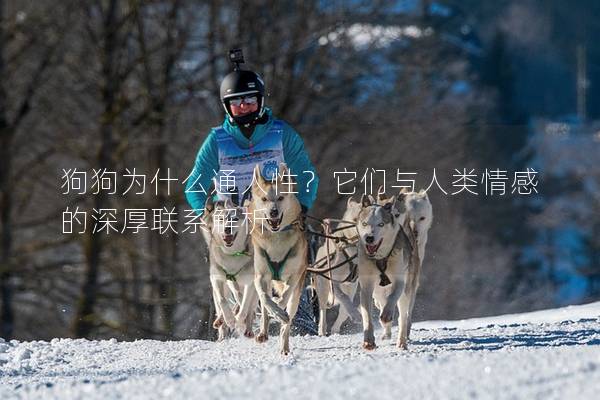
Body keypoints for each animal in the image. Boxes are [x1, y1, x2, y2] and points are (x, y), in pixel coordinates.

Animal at [203, 197, 256, 340]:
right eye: (221, 219)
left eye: (235, 219)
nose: (227, 229)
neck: (233, 254)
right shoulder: (219, 278)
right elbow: (223, 300)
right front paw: (230, 319)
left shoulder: (250, 282)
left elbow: (245, 305)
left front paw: (239, 319)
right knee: (227, 299)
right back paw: (221, 321)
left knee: (248, 306)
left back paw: (247, 328)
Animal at [247, 162, 308, 356]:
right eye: (264, 199)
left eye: (280, 198)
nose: (273, 212)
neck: (276, 239)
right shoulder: (260, 276)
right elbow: (265, 298)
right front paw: (274, 309)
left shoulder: (294, 276)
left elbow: (284, 297)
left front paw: (280, 309)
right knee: (266, 310)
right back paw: (263, 332)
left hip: (297, 293)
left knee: (287, 321)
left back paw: (284, 345)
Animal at [354, 195, 414, 350]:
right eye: (364, 223)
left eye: (381, 224)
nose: (369, 237)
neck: (380, 258)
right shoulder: (366, 287)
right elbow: (367, 315)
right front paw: (368, 341)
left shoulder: (399, 281)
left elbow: (392, 297)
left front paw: (387, 314)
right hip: (378, 293)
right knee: (381, 302)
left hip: (406, 292)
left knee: (402, 316)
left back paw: (401, 341)